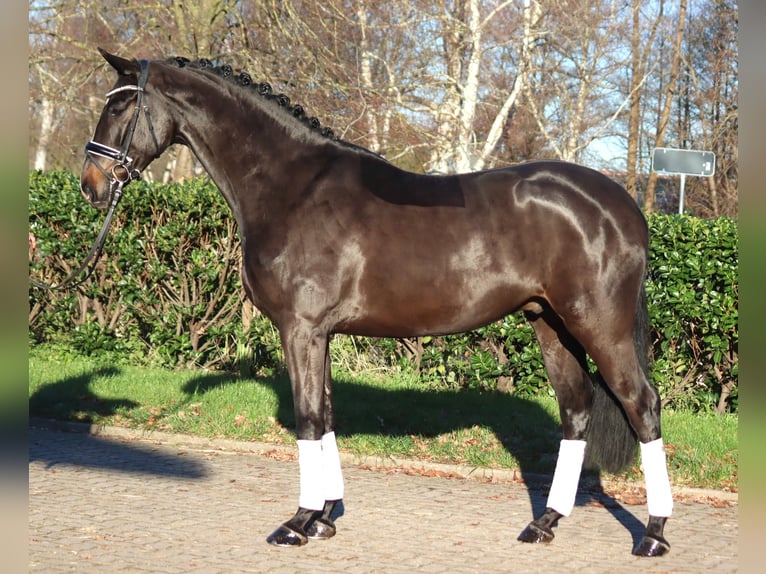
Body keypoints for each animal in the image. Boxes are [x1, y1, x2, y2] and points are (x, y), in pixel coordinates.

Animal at [79, 49, 673, 557]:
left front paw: (297, 522)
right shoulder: (319, 334)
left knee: (642, 406)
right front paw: (323, 517)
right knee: (576, 411)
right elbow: (326, 415)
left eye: (120, 105)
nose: (90, 184)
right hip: (551, 325)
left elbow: (307, 417)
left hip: (600, 327)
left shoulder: (301, 329)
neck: (290, 187)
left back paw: (653, 533)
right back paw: (544, 523)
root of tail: (622, 207)